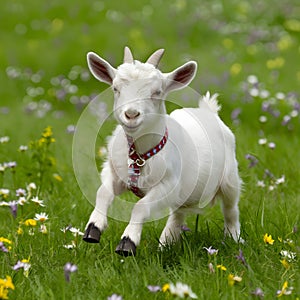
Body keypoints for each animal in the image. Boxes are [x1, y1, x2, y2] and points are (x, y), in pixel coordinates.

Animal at [83, 47, 243, 255]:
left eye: (157, 92)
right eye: (115, 88)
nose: (131, 114)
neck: (139, 156)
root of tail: (209, 111)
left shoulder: (167, 185)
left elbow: (140, 207)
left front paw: (128, 242)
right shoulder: (114, 173)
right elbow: (102, 193)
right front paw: (93, 228)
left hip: (230, 178)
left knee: (231, 209)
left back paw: (234, 237)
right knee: (178, 213)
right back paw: (167, 242)